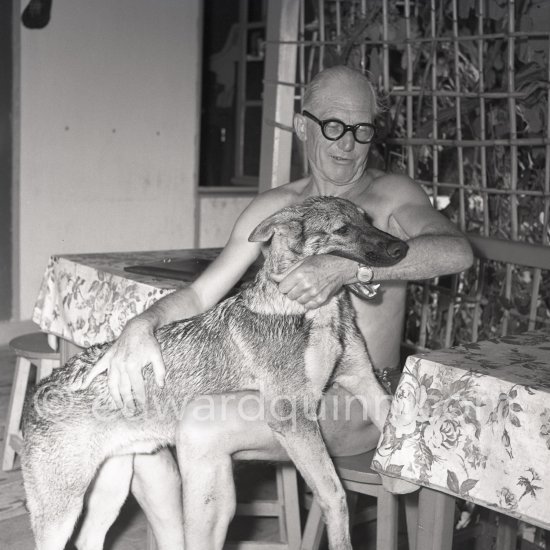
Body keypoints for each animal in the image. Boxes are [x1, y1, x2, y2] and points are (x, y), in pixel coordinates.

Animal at [21, 198, 410, 550]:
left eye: (368, 219)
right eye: (343, 229)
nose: (403, 247)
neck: (314, 312)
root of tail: (38, 390)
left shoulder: (363, 381)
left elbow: (389, 424)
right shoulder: (293, 417)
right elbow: (335, 495)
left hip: (111, 489)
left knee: (88, 539)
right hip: (62, 514)